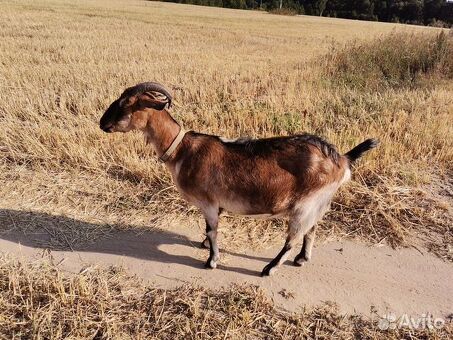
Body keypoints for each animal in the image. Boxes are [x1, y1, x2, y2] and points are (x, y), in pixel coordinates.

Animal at [100, 81, 378, 276]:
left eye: (126, 103)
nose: (102, 124)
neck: (181, 149)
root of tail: (342, 159)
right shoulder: (216, 205)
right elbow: (210, 231)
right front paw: (203, 246)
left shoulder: (209, 202)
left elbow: (212, 230)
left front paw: (211, 261)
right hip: (319, 203)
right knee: (312, 229)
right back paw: (302, 259)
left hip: (304, 204)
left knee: (294, 236)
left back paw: (269, 268)